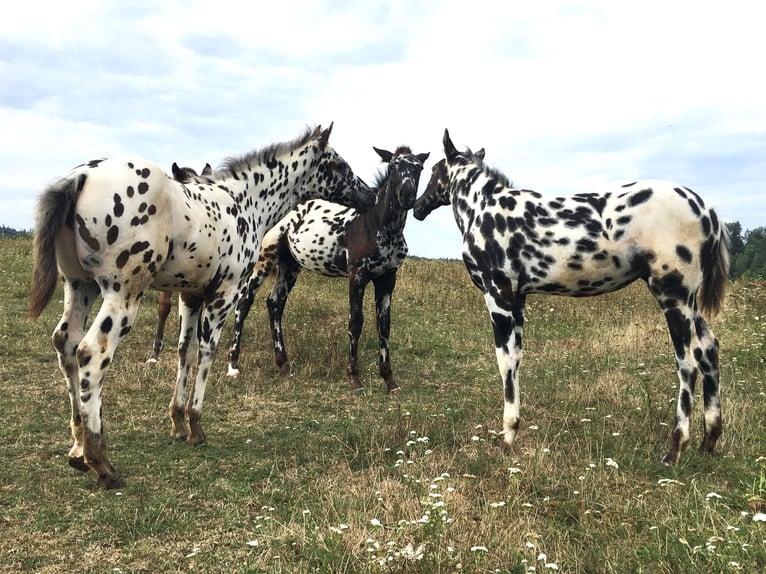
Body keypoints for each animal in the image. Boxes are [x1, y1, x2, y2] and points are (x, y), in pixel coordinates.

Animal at [24, 126, 372, 490]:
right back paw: (102, 464)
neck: (244, 202)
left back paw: (78, 449)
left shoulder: (190, 296)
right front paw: (196, 426)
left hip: (80, 286)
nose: (369, 195)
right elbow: (208, 353)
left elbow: (185, 351)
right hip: (123, 293)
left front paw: (178, 422)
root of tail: (82, 175)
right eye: (339, 164)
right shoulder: (224, 294)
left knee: (66, 342)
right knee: (91, 353)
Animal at [228, 146, 432, 394]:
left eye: (419, 168)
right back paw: (233, 364)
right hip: (266, 257)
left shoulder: (387, 279)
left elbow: (384, 325)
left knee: (275, 303)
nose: (407, 196)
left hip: (290, 265)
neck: (376, 225)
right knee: (245, 300)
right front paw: (355, 380)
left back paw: (284, 364)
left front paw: (390, 381)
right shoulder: (357, 276)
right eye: (393, 167)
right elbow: (355, 322)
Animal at [414, 129, 732, 468]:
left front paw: (507, 437)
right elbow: (517, 359)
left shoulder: (498, 296)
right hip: (689, 301)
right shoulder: (518, 299)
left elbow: (505, 362)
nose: (418, 208)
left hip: (673, 297)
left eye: (433, 169)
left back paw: (675, 449)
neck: (486, 210)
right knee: (708, 349)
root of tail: (708, 211)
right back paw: (709, 441)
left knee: (687, 363)